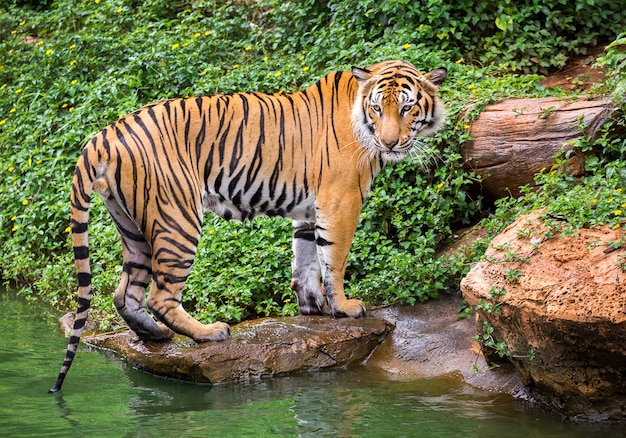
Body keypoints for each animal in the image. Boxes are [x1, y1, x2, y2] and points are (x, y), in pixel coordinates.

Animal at [51, 60, 446, 392]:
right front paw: (345, 307)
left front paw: (311, 306)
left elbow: (305, 258)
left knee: (125, 294)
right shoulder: (341, 201)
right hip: (178, 217)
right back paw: (209, 332)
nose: (389, 142)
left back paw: (155, 336)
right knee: (159, 295)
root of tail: (104, 133)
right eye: (377, 108)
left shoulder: (309, 210)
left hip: (131, 224)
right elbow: (334, 258)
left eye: (407, 108)